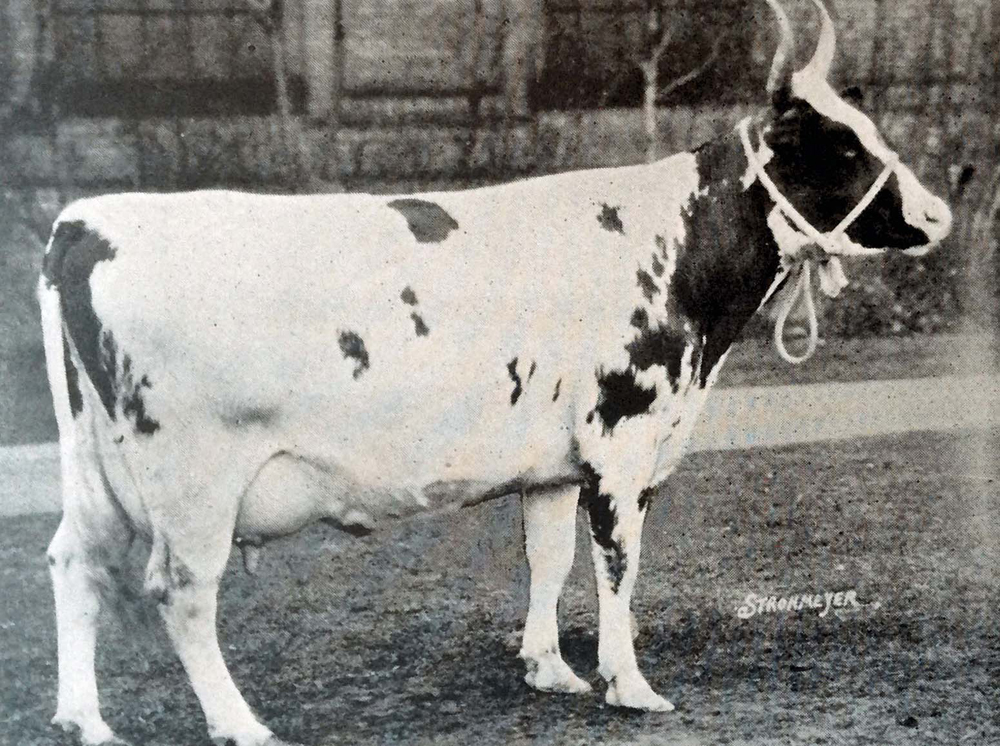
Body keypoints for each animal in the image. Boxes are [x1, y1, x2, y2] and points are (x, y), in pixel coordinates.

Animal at [35, 2, 948, 740]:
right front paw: (630, 684)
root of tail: (87, 220)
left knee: (73, 560)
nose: (938, 214)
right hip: (193, 479)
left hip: (94, 466)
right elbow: (619, 563)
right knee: (182, 592)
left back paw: (85, 720)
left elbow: (549, 559)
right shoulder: (623, 439)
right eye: (839, 146)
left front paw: (550, 669)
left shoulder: (550, 461)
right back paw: (238, 725)